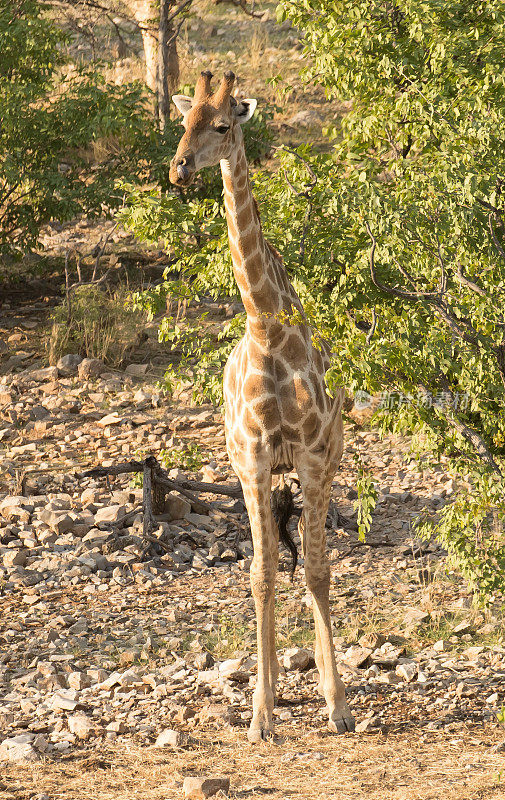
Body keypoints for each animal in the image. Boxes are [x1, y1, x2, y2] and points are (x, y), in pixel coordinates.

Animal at [169, 70, 354, 744]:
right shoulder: (250, 457)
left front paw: (337, 704)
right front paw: (259, 714)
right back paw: (272, 692)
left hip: (321, 461)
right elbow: (259, 575)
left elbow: (319, 571)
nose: (178, 169)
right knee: (274, 564)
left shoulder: (310, 453)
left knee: (310, 563)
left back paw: (319, 685)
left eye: (222, 125)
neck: (266, 327)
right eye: (183, 122)